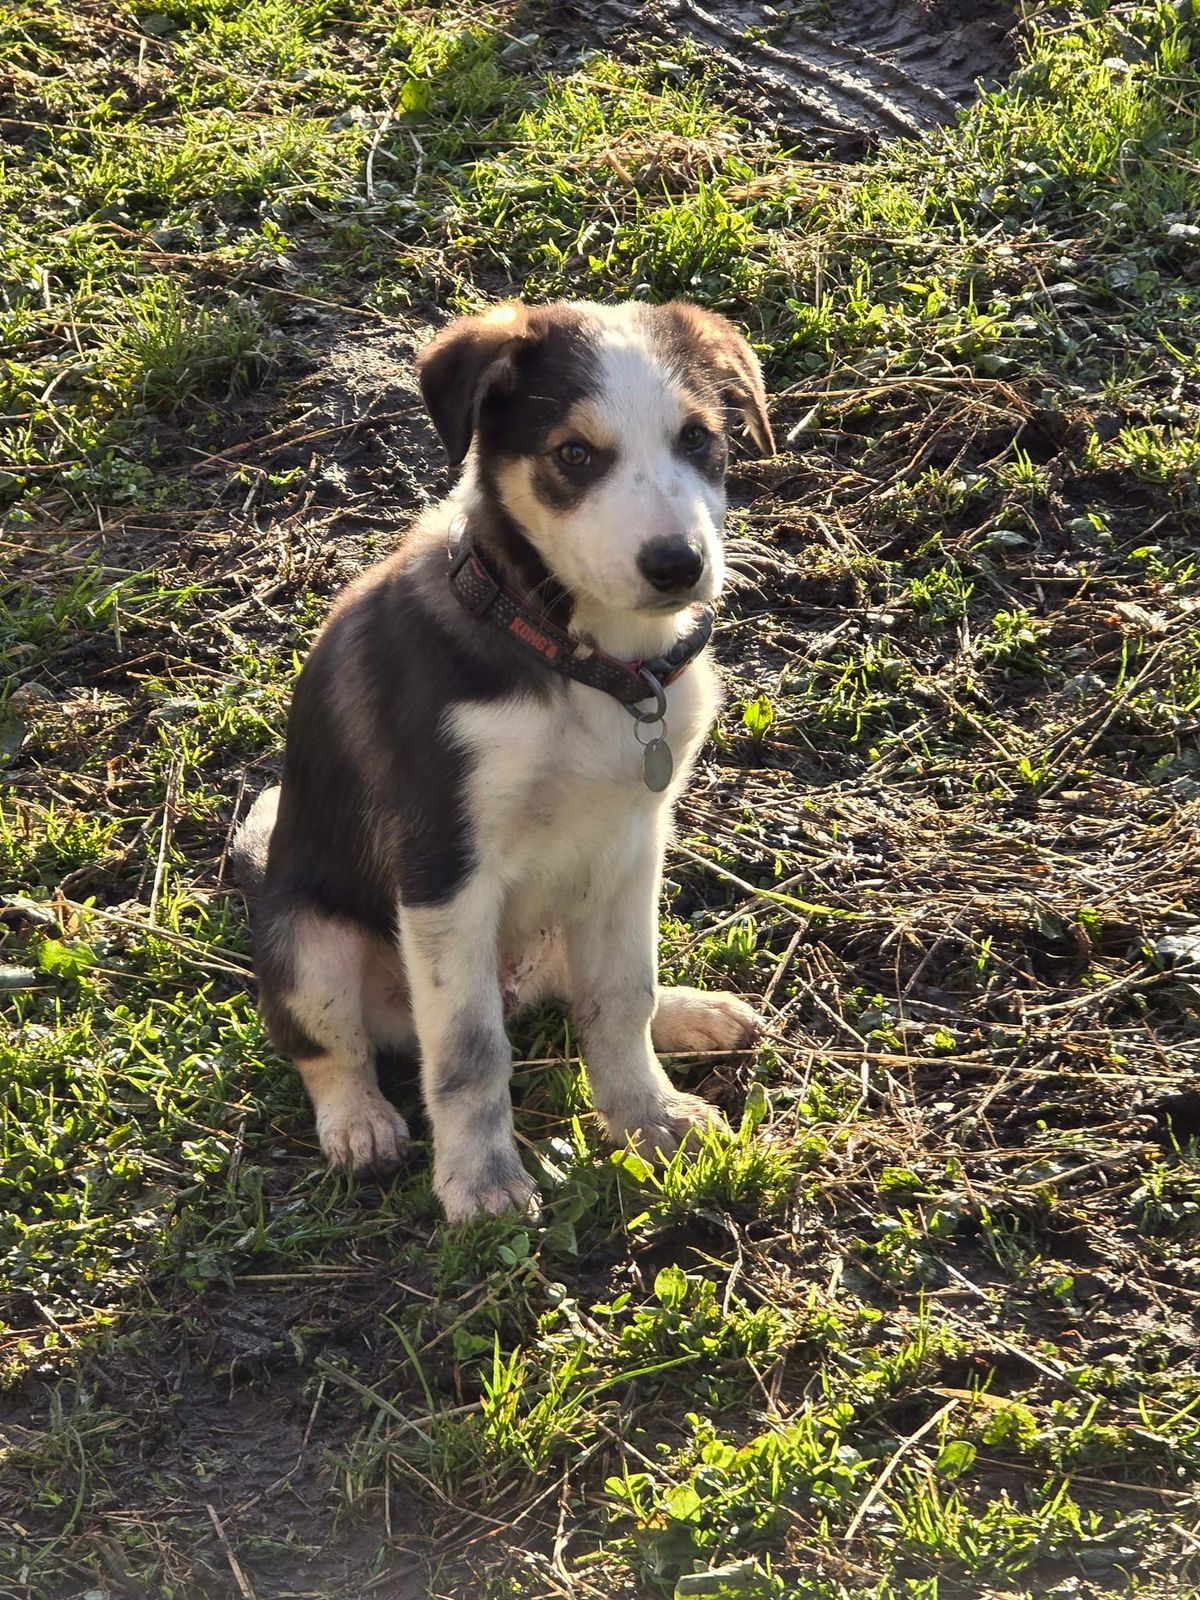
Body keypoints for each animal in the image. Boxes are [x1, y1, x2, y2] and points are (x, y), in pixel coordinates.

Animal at [233, 300, 774, 1222]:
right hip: (308, 938)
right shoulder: (445, 865)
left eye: (699, 438)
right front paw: (481, 1182)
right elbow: (468, 1050)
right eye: (574, 454)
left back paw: (694, 1014)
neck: (583, 662)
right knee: (327, 1047)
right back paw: (359, 1124)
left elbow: (622, 993)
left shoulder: (634, 842)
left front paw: (648, 1117)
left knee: (577, 988)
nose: (678, 566)